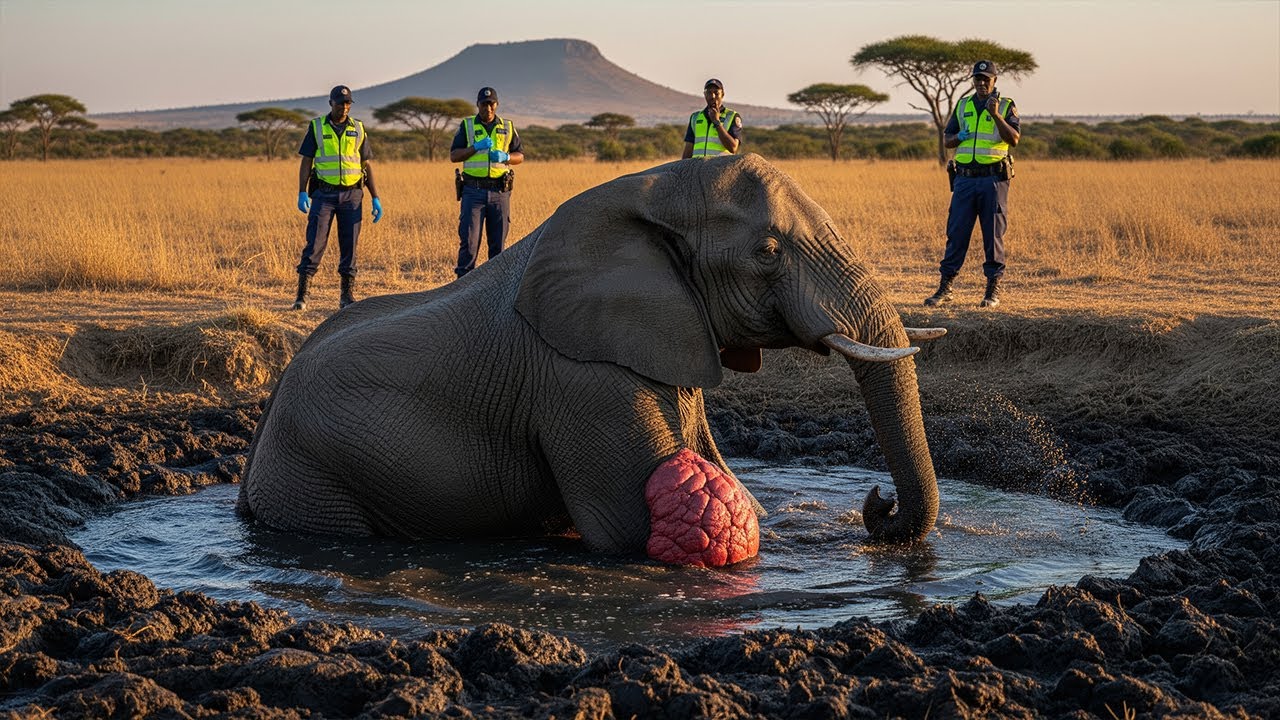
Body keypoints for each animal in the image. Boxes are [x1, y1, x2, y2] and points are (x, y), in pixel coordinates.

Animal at [238, 153, 943, 567]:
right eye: (768, 252)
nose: (877, 505)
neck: (651, 188)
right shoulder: (579, 379)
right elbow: (629, 530)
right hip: (311, 476)